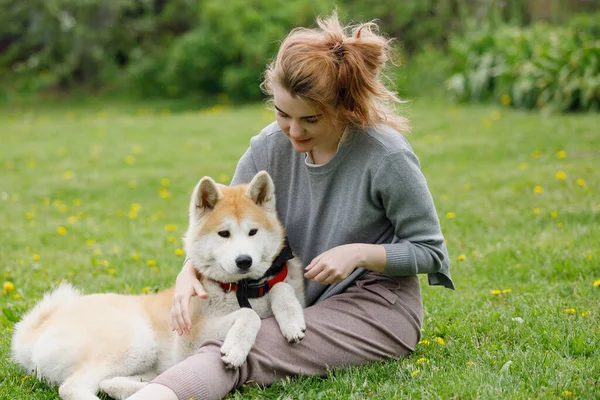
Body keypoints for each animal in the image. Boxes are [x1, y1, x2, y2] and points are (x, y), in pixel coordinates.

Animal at [11, 172, 308, 400]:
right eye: (224, 233)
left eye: (252, 232)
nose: (244, 260)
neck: (242, 289)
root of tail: (38, 327)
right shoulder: (189, 338)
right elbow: (248, 315)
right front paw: (236, 348)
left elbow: (280, 288)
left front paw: (291, 319)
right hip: (137, 341)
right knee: (72, 387)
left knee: (115, 381)